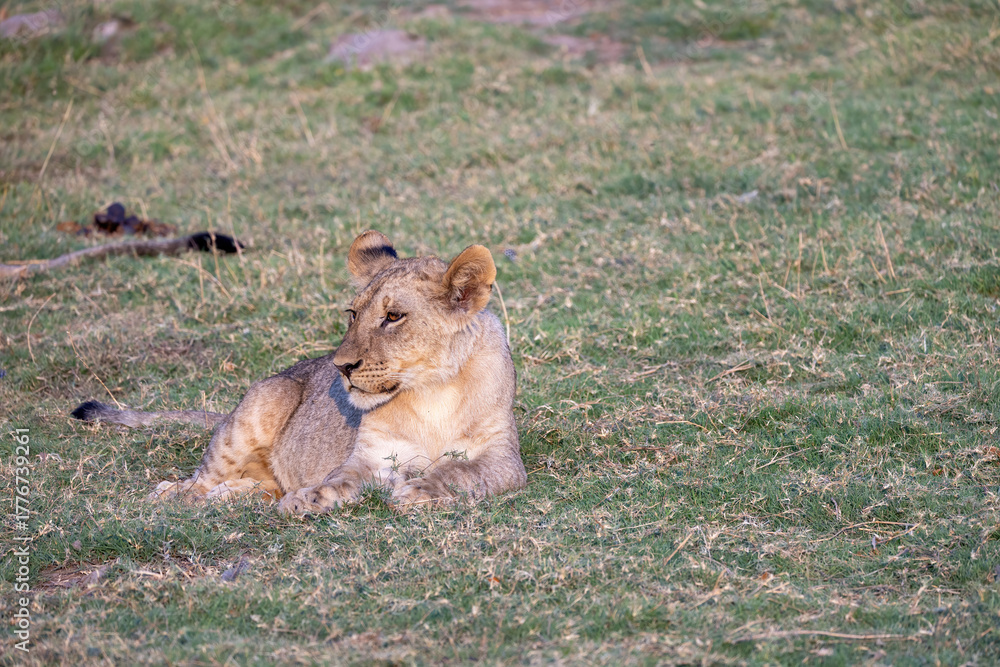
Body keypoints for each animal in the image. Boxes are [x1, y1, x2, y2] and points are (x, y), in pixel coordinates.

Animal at [71, 231, 527, 514]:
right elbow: (341, 479)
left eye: (394, 316)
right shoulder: (371, 456)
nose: (341, 367)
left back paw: (229, 496)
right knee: (194, 480)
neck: (430, 391)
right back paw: (176, 497)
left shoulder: (504, 459)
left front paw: (420, 490)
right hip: (258, 408)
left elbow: (460, 471)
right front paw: (307, 499)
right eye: (353, 313)